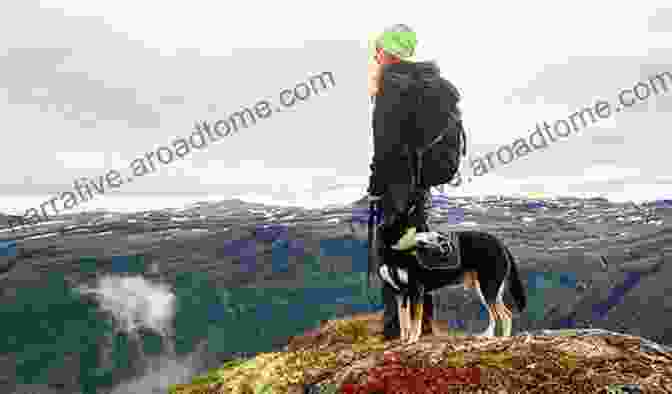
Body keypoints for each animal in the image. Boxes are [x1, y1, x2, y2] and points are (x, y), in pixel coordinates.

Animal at [378, 229, 524, 344]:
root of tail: (501, 244)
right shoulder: (400, 294)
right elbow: (403, 321)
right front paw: (403, 340)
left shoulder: (416, 291)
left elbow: (415, 320)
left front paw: (412, 340)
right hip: (488, 291)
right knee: (506, 314)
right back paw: (501, 338)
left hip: (487, 290)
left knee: (498, 316)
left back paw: (492, 337)